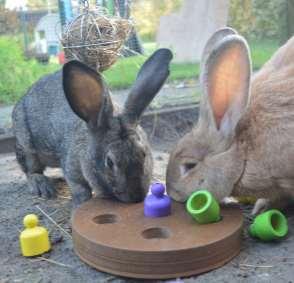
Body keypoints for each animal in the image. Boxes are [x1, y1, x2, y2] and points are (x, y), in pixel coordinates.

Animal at [12, 48, 172, 207]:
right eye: (109, 162)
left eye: (143, 154)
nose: (136, 197)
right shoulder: (72, 168)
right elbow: (80, 188)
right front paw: (81, 202)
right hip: (27, 146)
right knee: (31, 170)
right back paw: (42, 186)